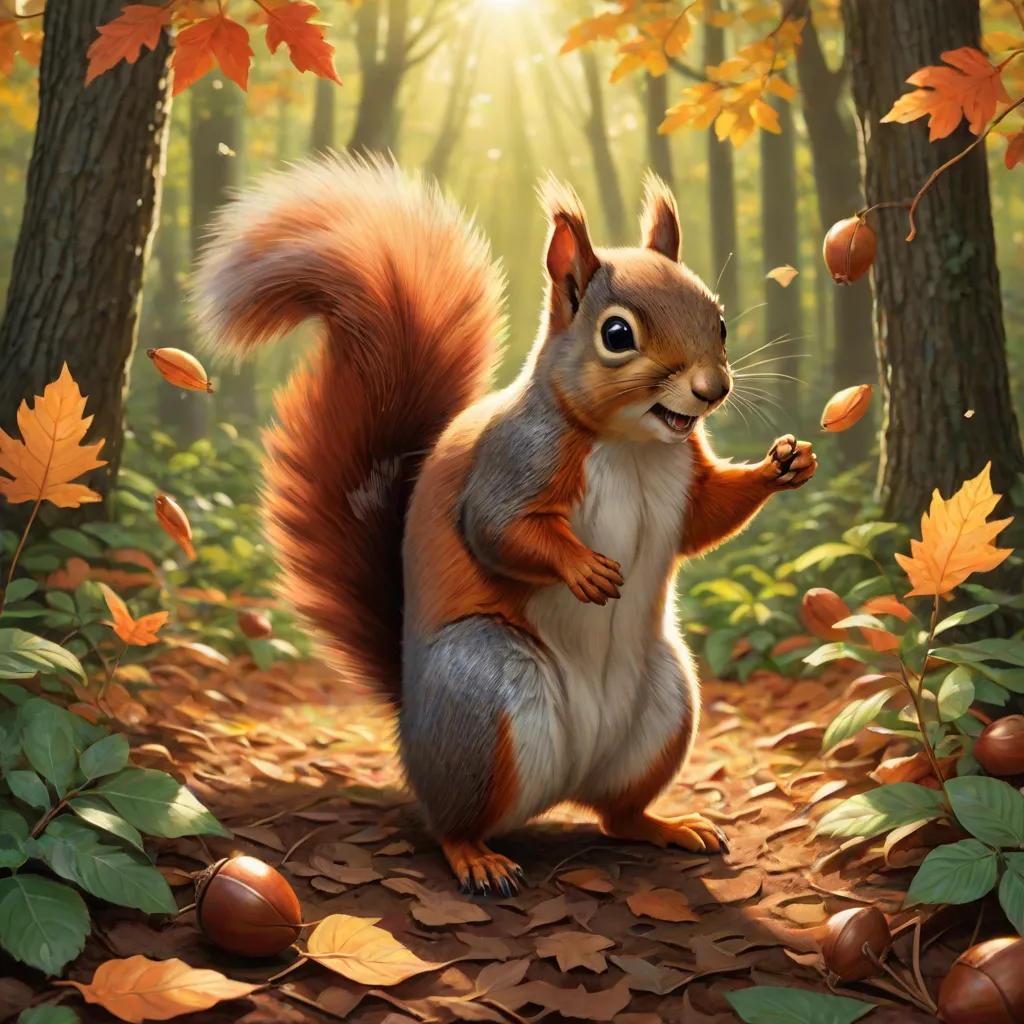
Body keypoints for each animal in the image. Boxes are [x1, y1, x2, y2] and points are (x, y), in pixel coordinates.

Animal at [193, 154, 817, 896]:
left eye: (717, 320)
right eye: (617, 335)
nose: (711, 389)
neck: (630, 446)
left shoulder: (685, 478)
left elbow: (706, 519)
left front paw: (786, 464)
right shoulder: (513, 461)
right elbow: (496, 531)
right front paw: (585, 568)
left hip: (667, 703)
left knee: (617, 814)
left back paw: (665, 825)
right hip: (482, 693)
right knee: (452, 820)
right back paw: (478, 858)